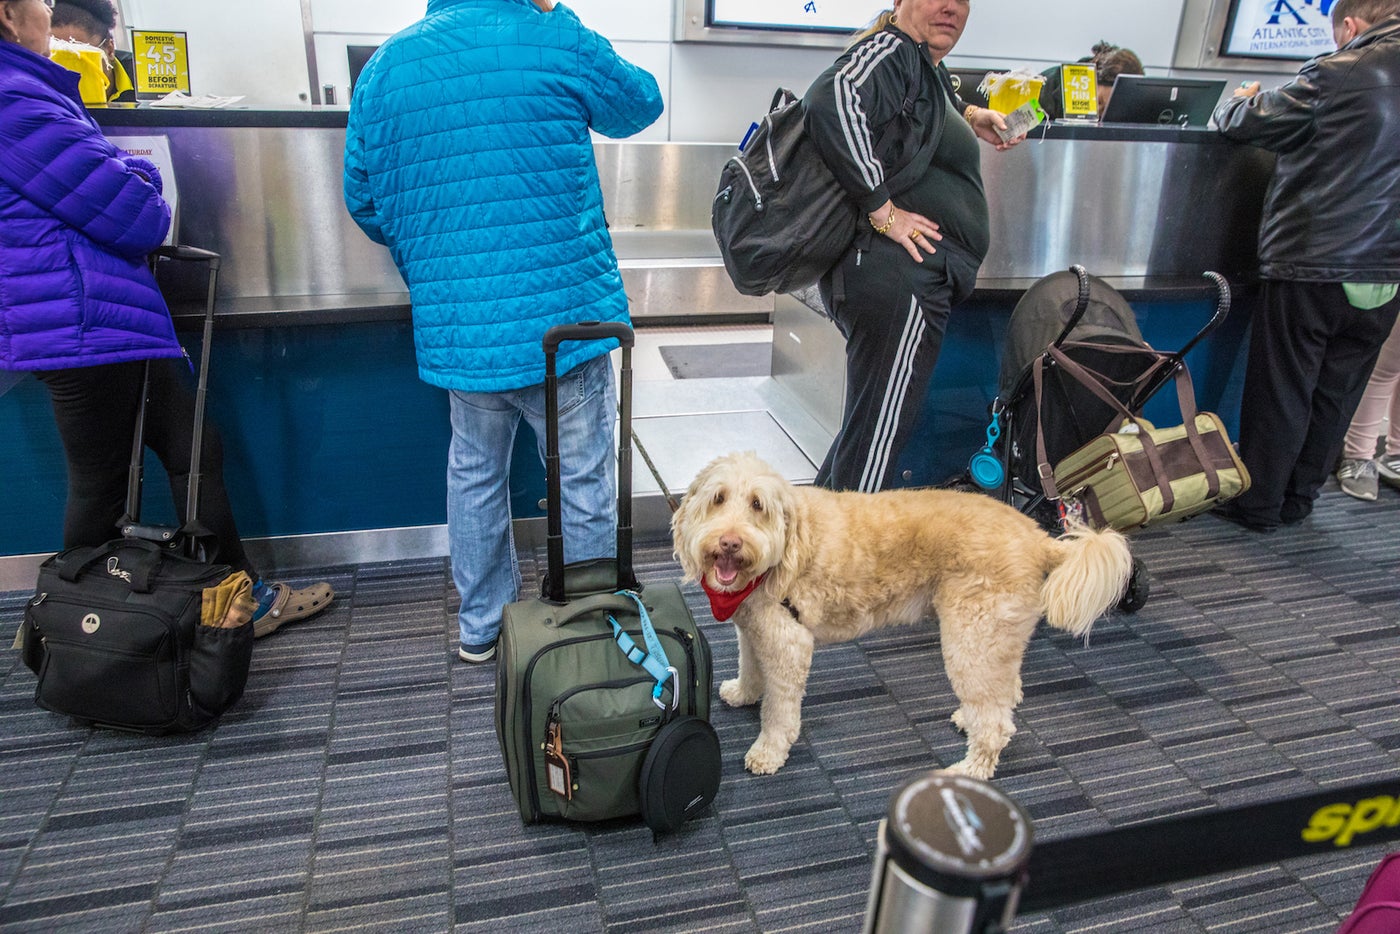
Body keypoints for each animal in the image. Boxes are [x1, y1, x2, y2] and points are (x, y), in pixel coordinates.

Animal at [672, 453, 1131, 784]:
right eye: (717, 498)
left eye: (758, 505)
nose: (730, 542)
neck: (781, 551)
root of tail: (1038, 539)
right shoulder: (754, 629)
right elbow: (750, 667)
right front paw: (743, 692)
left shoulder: (789, 643)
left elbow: (779, 711)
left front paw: (768, 751)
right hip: (998, 636)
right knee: (1007, 692)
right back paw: (969, 719)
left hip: (972, 638)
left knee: (998, 724)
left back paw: (971, 769)